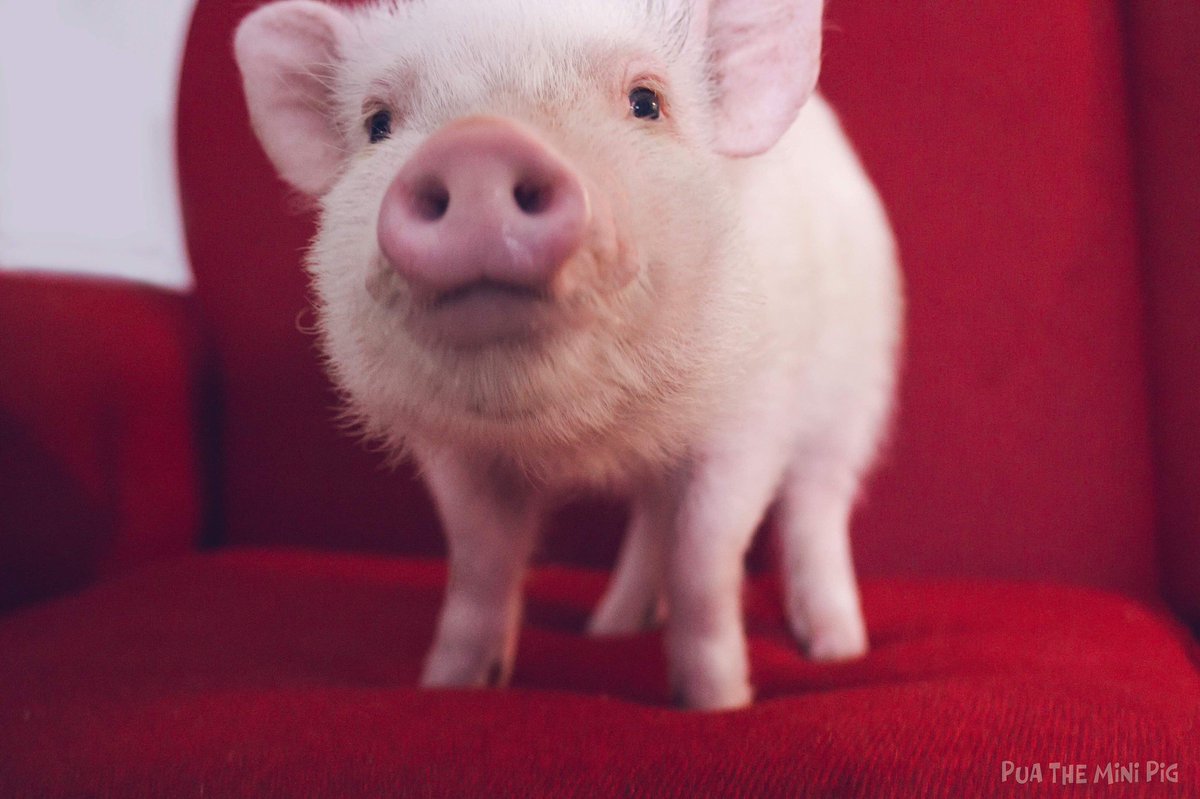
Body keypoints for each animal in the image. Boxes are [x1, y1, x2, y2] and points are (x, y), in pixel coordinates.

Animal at [234, 0, 902, 710]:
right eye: (378, 123)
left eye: (646, 102)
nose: (479, 146)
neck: (577, 436)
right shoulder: (458, 454)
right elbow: (479, 564)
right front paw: (449, 686)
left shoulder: (750, 419)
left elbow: (704, 562)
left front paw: (718, 705)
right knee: (652, 518)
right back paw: (610, 629)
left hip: (857, 389)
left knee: (816, 506)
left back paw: (836, 648)